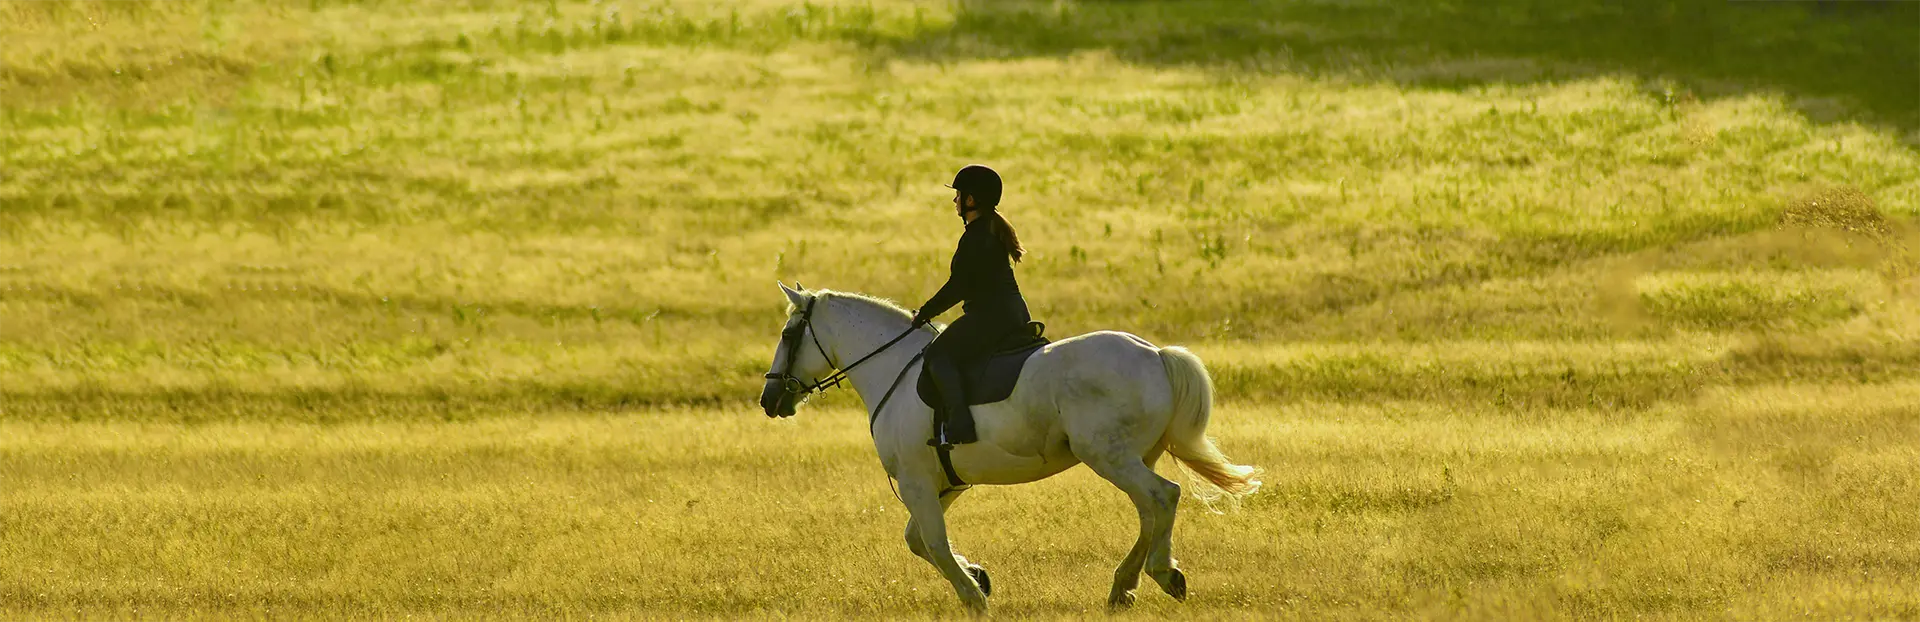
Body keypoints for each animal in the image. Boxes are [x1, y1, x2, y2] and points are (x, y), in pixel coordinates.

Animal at [756, 284, 1267, 614]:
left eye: (787, 335)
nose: (769, 400)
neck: (891, 370)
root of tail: (1156, 355)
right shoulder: (942, 483)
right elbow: (917, 539)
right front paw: (979, 575)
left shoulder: (918, 482)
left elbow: (933, 543)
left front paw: (972, 596)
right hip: (1132, 457)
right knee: (1151, 509)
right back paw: (1124, 586)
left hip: (1110, 457)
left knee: (1164, 496)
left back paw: (1161, 574)